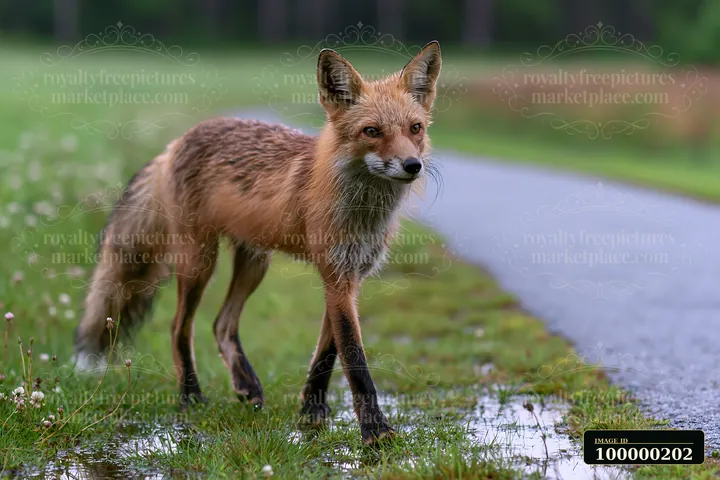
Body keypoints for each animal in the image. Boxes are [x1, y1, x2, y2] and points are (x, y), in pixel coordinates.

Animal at [74, 41, 442, 444]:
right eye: (372, 131)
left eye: (415, 128)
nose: (412, 165)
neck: (363, 211)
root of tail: (176, 142)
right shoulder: (336, 274)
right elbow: (354, 359)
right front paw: (375, 431)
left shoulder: (351, 276)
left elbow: (327, 352)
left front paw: (312, 409)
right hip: (199, 261)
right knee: (178, 327)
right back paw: (190, 396)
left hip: (254, 261)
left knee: (221, 324)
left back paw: (245, 385)